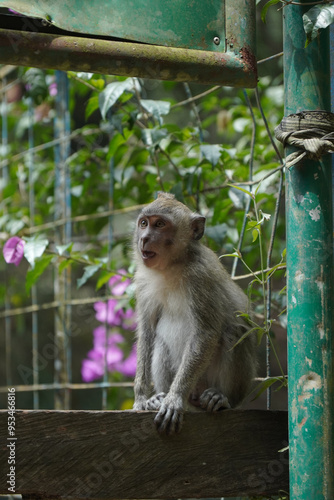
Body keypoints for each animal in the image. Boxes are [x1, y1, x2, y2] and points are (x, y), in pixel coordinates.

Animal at [131, 191, 256, 434]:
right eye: (143, 223)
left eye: (160, 224)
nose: (144, 239)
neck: (171, 266)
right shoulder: (142, 281)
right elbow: (147, 332)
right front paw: (141, 398)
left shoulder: (200, 276)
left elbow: (206, 333)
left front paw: (174, 398)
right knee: (160, 341)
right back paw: (159, 398)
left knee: (234, 331)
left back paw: (222, 398)